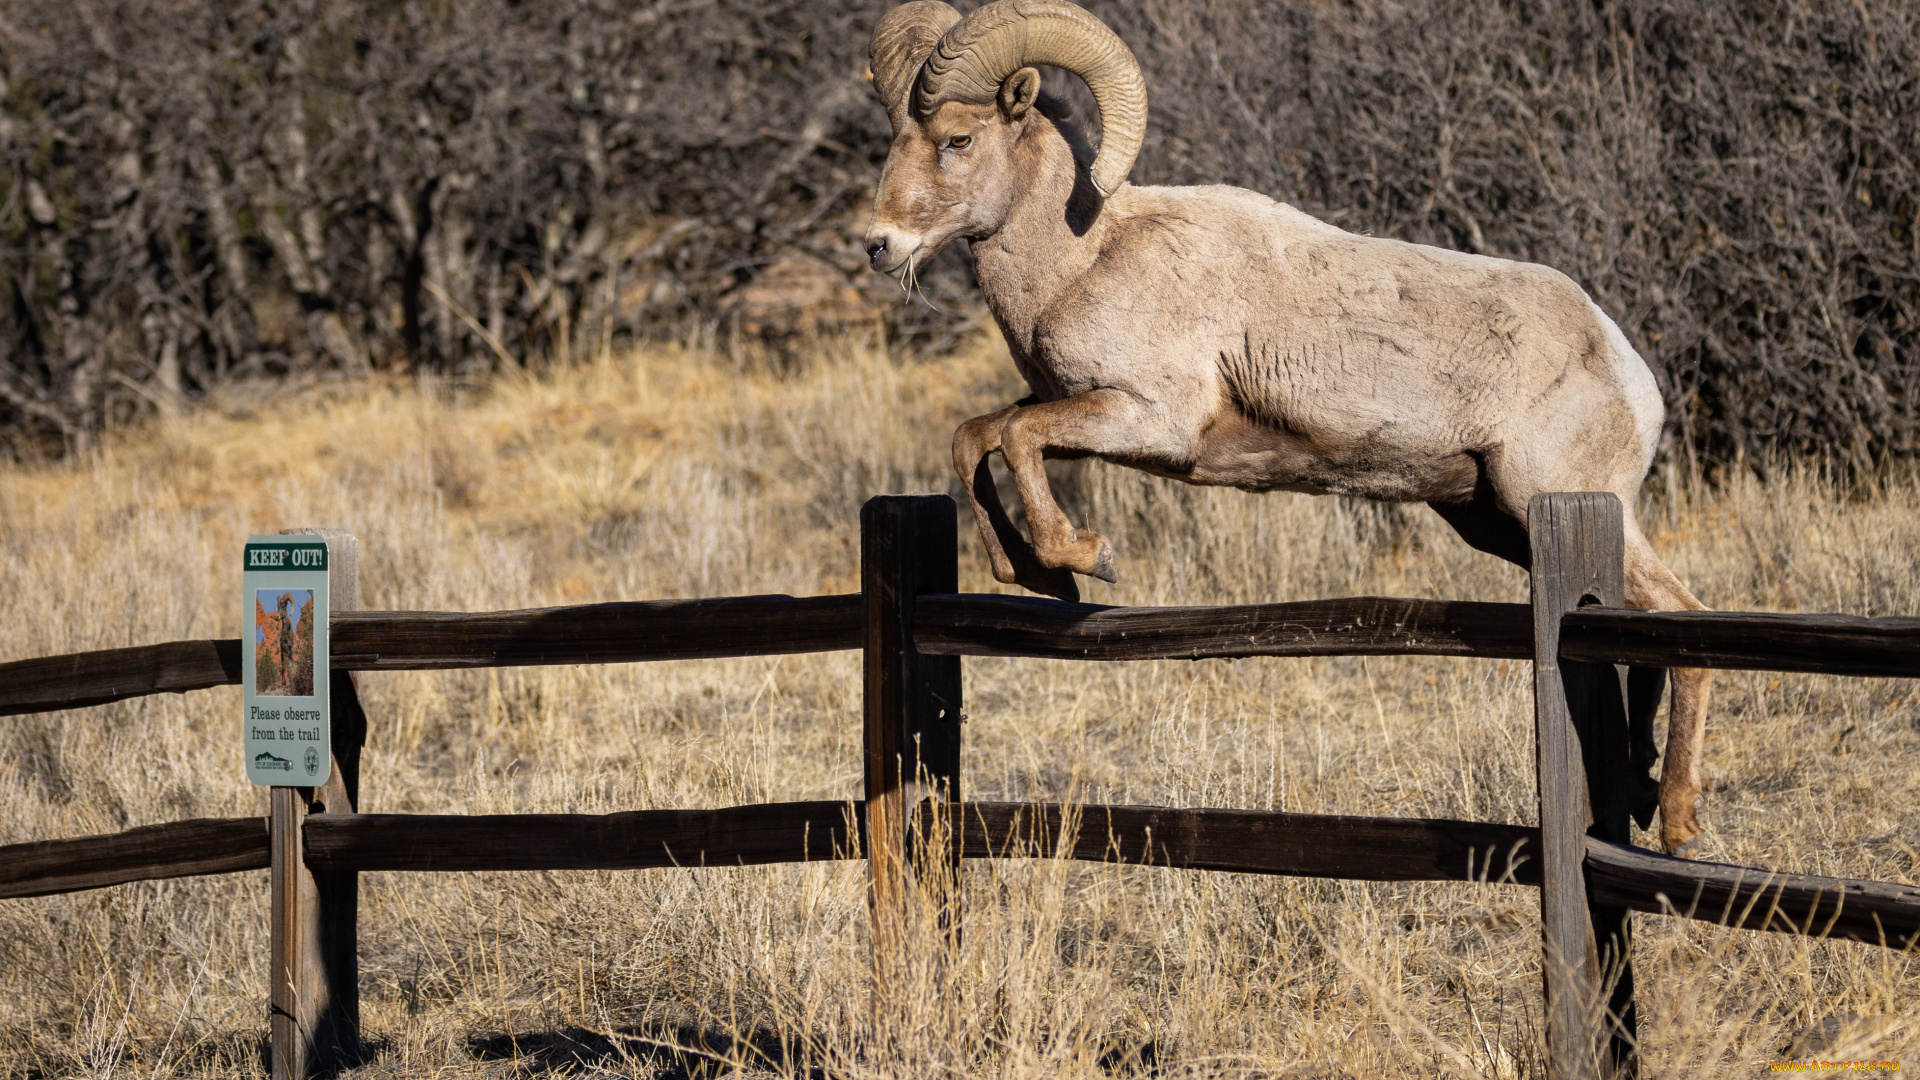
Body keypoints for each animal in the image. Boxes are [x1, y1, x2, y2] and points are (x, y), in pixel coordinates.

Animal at [864, 2, 1720, 857]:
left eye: (958, 139)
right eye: (896, 140)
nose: (878, 245)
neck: (1083, 258)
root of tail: (1628, 369)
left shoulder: (1151, 421)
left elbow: (1016, 441)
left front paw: (1082, 560)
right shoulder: (1073, 411)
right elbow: (978, 438)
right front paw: (1034, 575)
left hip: (1558, 498)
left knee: (1687, 623)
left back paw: (1678, 820)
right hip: (1497, 519)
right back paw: (1643, 789)